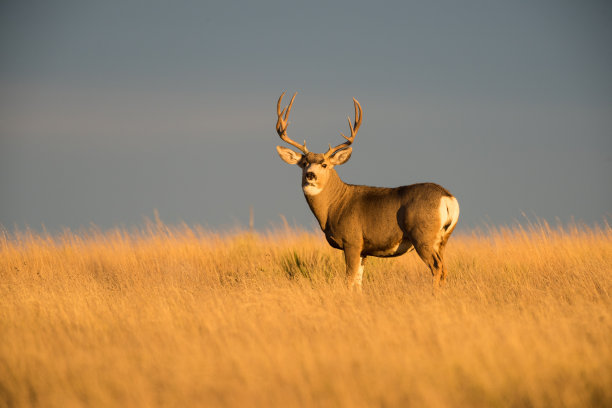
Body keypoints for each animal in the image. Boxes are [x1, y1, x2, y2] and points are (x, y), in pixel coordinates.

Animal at [274, 92, 460, 292]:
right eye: (304, 163)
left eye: (324, 164)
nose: (310, 175)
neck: (335, 205)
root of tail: (447, 197)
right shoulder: (364, 250)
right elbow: (358, 282)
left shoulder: (352, 241)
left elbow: (349, 279)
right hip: (443, 239)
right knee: (444, 268)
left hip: (423, 236)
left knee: (437, 267)